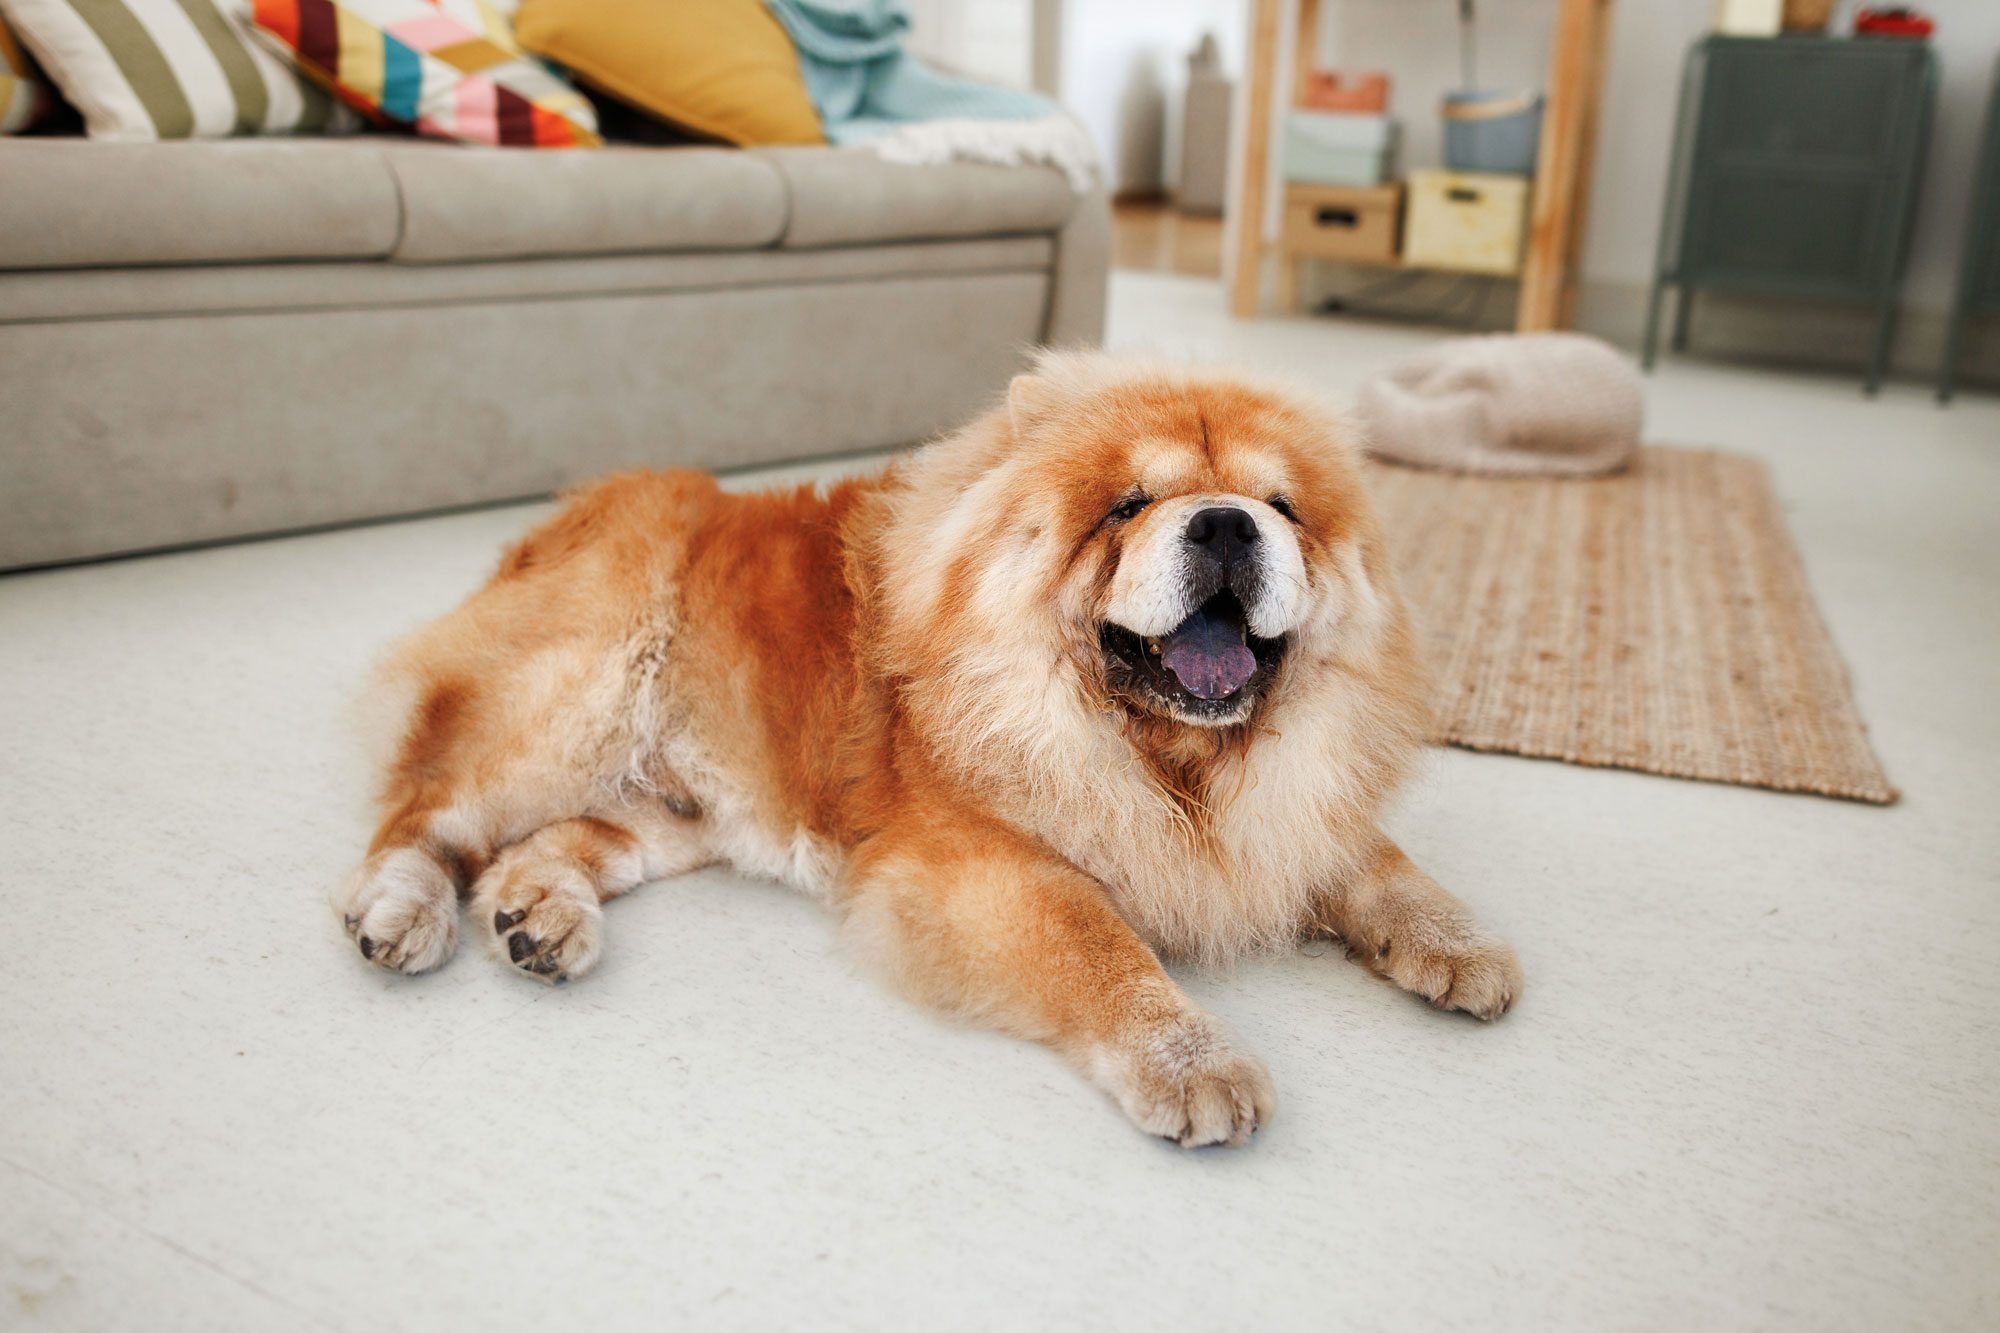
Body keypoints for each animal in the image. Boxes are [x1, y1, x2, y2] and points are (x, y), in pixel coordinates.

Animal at [340, 350, 1512, 1144]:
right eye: (1128, 505)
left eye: (1282, 507)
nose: (1224, 522)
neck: (1174, 764)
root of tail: (559, 521)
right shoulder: (980, 861)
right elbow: (1102, 946)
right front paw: (1196, 1063)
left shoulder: (1292, 809)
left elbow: (1376, 862)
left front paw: (1460, 946)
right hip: (571, 697)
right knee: (426, 810)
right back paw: (403, 911)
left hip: (684, 807)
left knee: (546, 843)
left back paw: (538, 916)